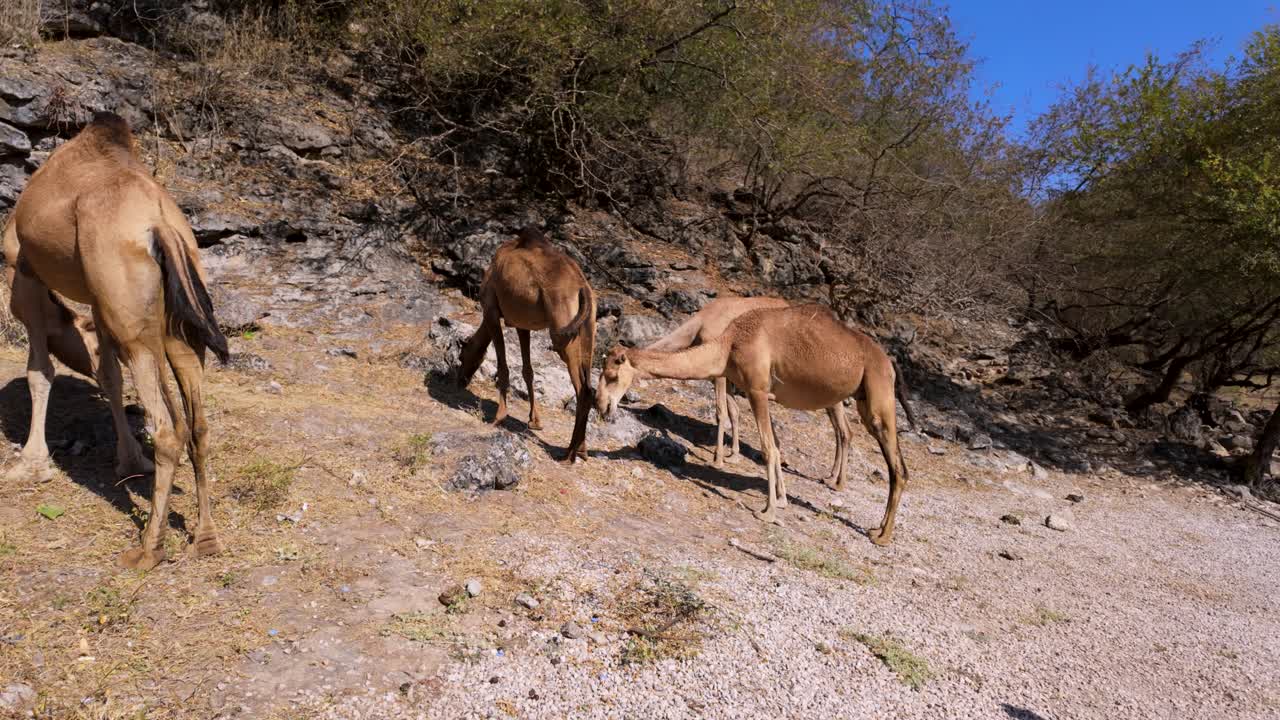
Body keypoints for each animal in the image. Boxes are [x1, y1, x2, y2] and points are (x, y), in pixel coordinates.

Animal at [5, 113, 229, 570]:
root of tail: (163, 228)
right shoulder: (97, 297)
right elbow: (108, 375)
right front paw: (127, 460)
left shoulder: (25, 273)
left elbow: (40, 370)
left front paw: (30, 465)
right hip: (176, 324)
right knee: (197, 425)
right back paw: (205, 539)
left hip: (134, 328)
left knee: (167, 430)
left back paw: (148, 549)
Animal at [458, 227, 596, 463]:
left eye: (461, 355)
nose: (460, 380)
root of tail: (582, 287)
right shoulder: (522, 325)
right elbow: (528, 370)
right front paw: (535, 421)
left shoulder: (491, 311)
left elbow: (503, 366)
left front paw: (499, 417)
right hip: (588, 331)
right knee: (589, 385)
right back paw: (582, 449)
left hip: (563, 331)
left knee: (583, 389)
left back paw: (568, 454)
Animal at [596, 303, 916, 545]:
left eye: (611, 375)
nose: (600, 405)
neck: (728, 345)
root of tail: (888, 362)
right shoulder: (761, 392)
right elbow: (775, 445)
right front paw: (782, 501)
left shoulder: (757, 389)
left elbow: (767, 449)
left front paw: (768, 512)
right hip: (862, 396)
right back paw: (876, 527)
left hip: (877, 393)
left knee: (897, 466)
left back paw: (882, 536)